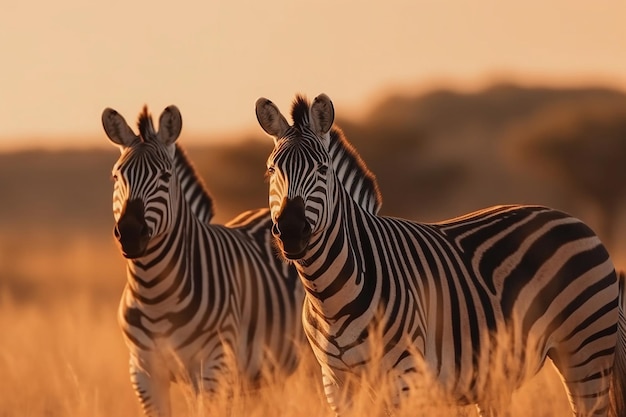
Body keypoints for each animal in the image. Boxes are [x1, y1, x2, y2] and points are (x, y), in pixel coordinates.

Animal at [100, 105, 304, 416]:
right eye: (116, 177)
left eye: (165, 176)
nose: (130, 234)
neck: (155, 294)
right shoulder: (144, 372)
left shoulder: (213, 365)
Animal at [254, 94, 624, 416]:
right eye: (272, 170)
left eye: (322, 169)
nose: (291, 230)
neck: (329, 294)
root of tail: (577, 221)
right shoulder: (336, 384)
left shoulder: (403, 377)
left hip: (585, 352)